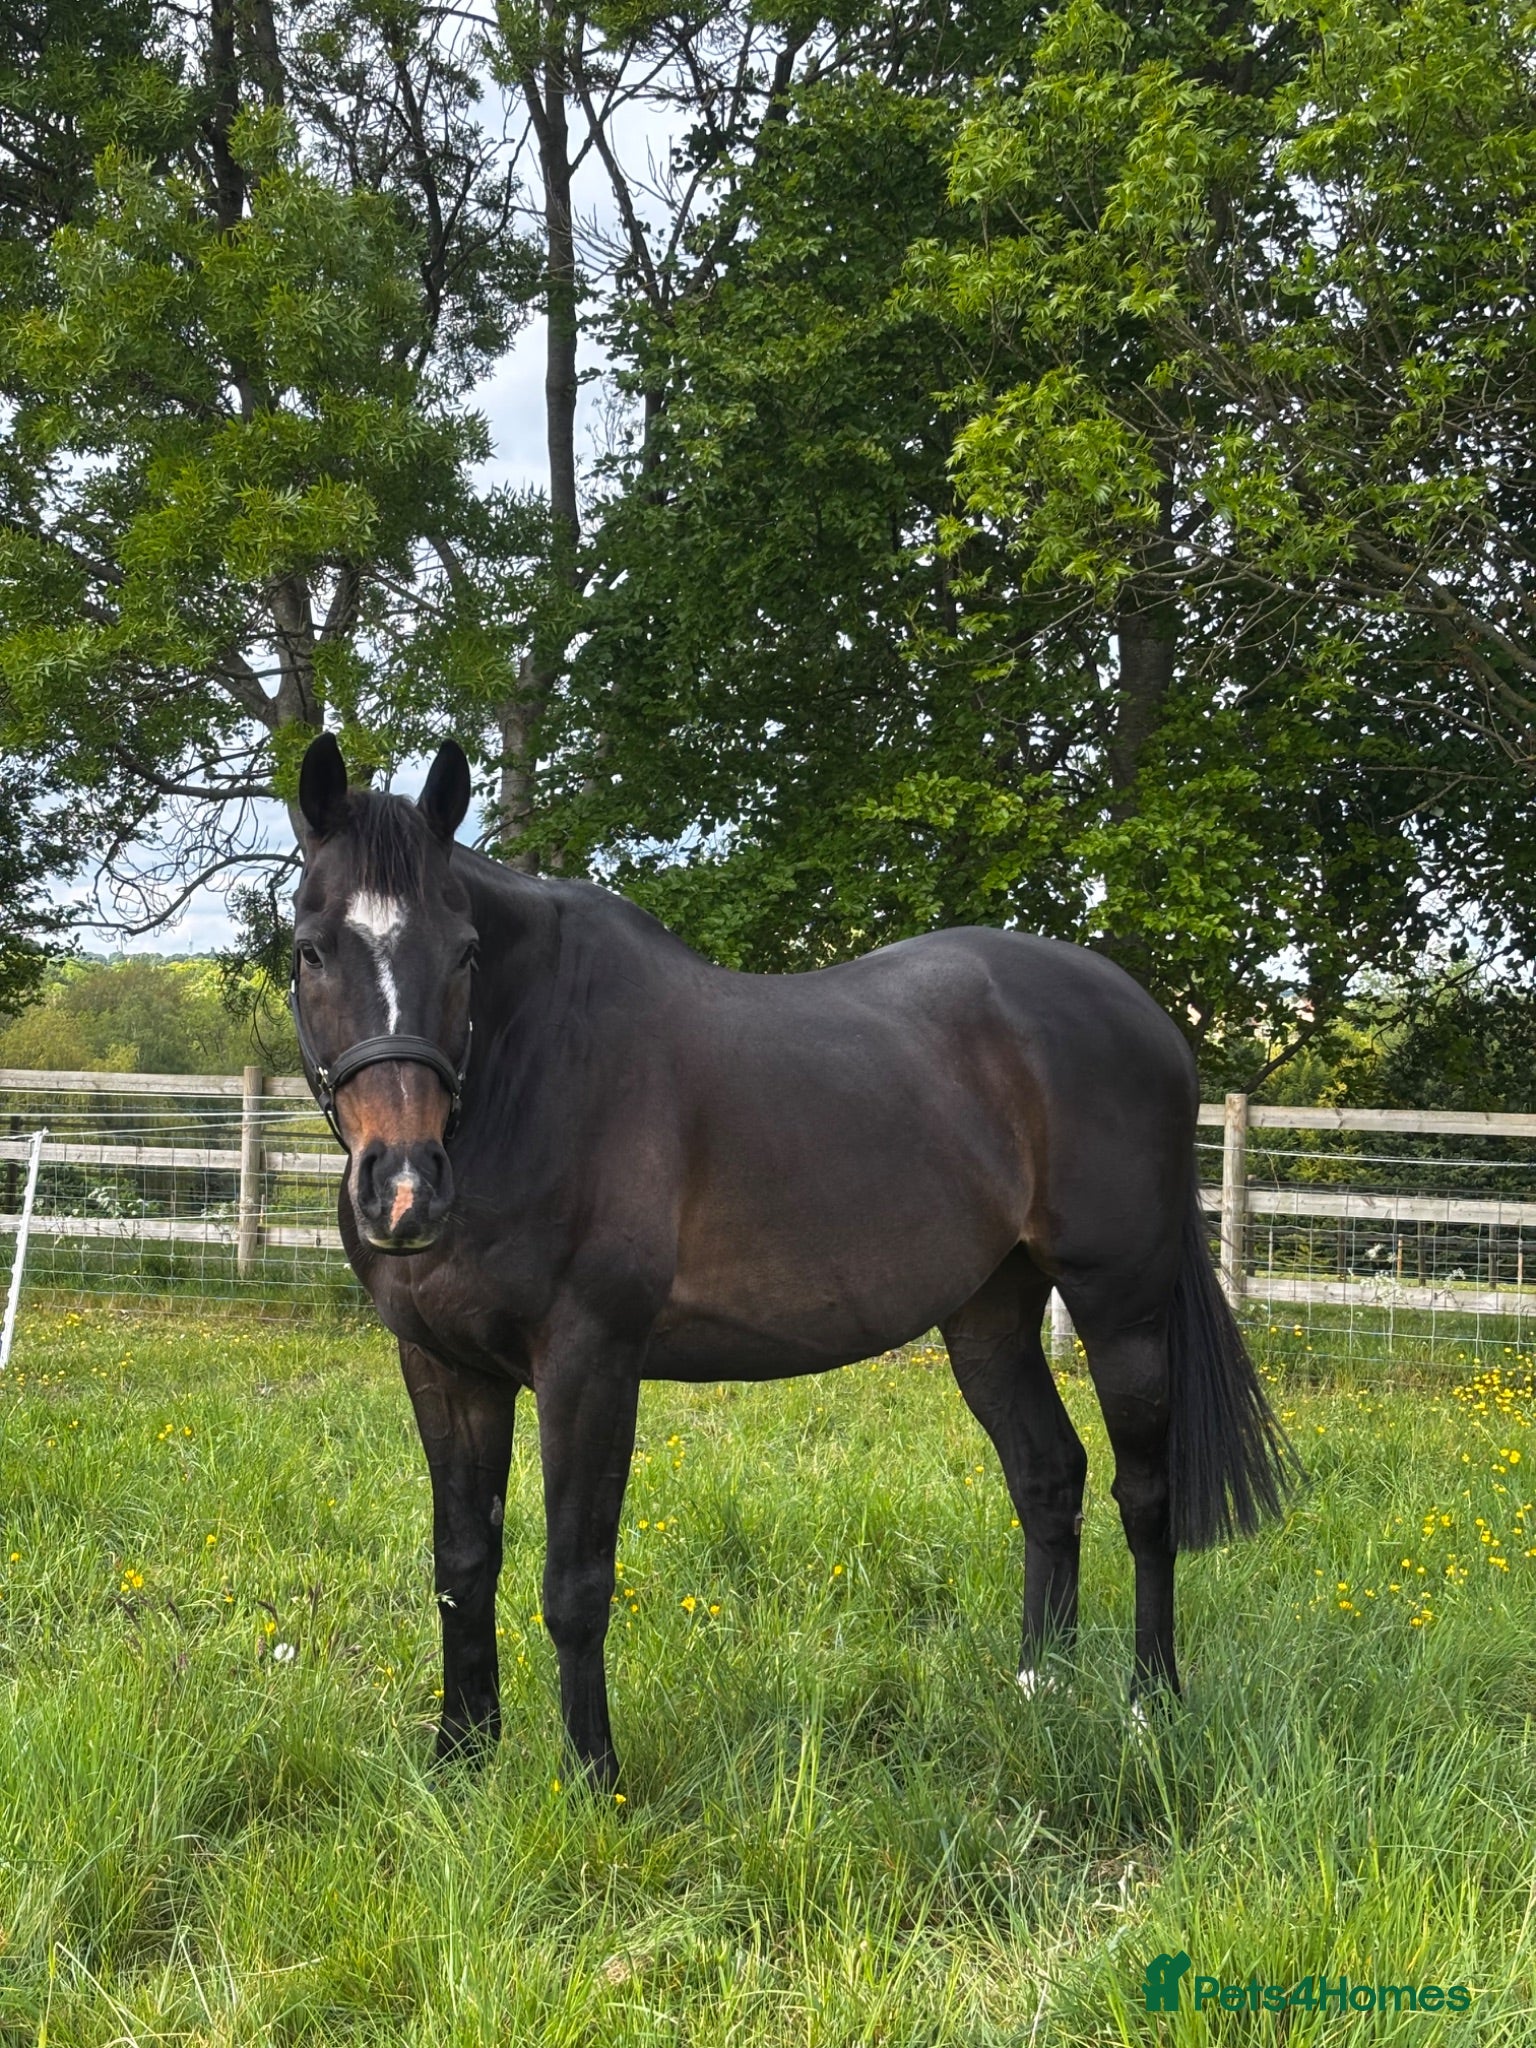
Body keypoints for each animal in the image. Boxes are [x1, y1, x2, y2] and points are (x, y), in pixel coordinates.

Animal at [290, 732, 1295, 1784]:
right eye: (311, 948)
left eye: (466, 952)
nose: (405, 1189)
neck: (533, 1067)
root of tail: (1148, 1016)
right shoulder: (443, 1366)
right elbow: (461, 1566)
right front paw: (459, 1759)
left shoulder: (590, 1361)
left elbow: (575, 1581)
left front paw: (594, 1779)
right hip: (989, 1313)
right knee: (1047, 1475)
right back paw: (1040, 1689)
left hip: (1120, 1307)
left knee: (1145, 1496)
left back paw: (1150, 1703)